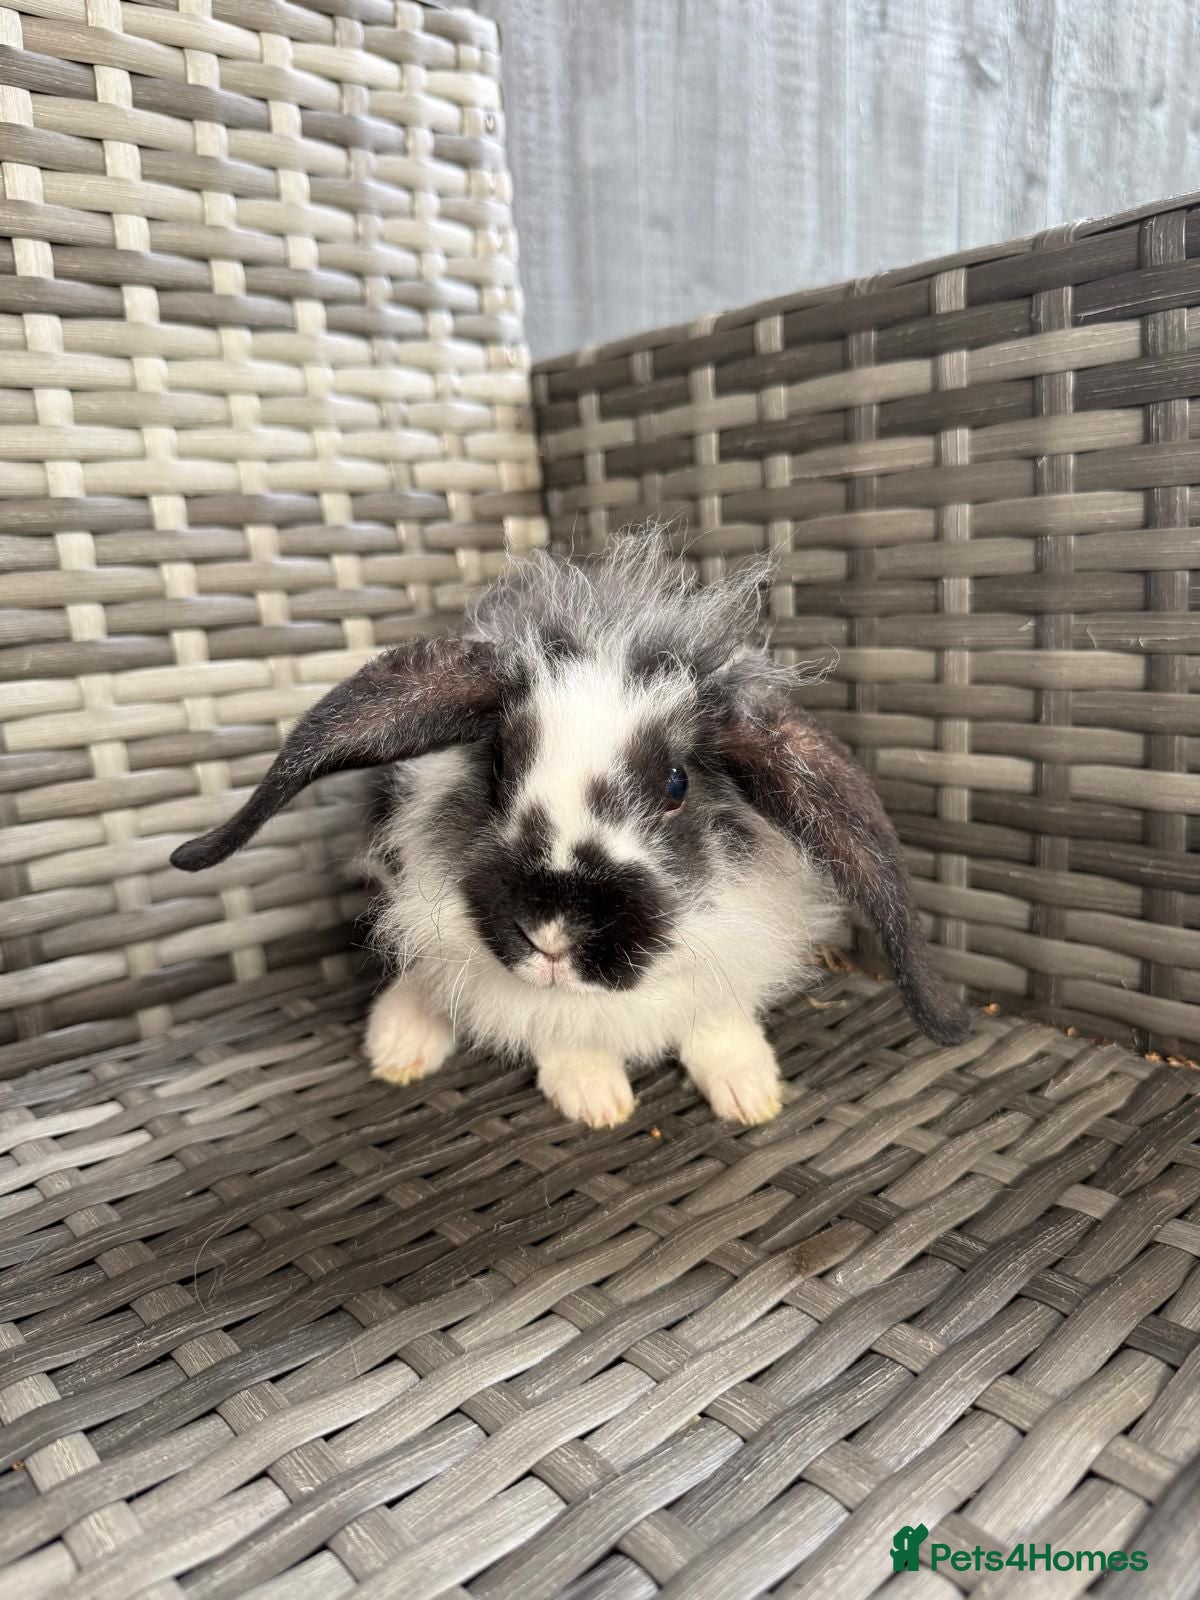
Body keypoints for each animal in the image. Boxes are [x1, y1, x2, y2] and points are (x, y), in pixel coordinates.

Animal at [172, 536, 970, 1129]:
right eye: (497, 765)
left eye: (676, 784)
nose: (551, 932)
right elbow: (555, 1030)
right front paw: (597, 1099)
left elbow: (714, 1019)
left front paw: (749, 1091)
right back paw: (401, 1043)